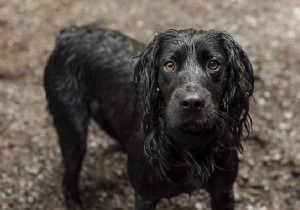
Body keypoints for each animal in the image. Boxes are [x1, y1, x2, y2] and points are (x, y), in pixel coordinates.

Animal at [43, 25, 254, 210]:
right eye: (169, 65)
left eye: (213, 64)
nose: (192, 102)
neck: (190, 145)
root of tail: (69, 33)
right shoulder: (145, 195)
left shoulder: (223, 191)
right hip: (73, 130)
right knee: (68, 182)